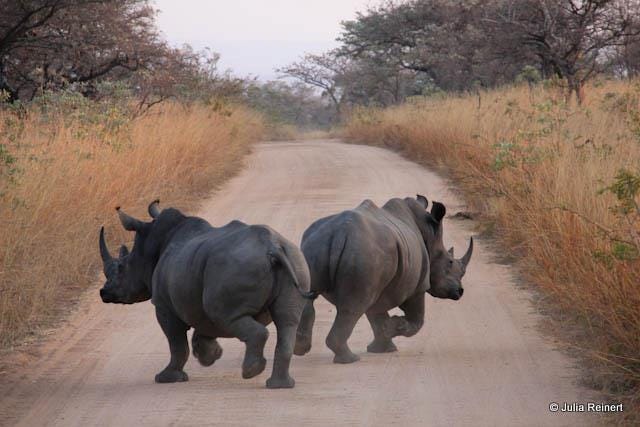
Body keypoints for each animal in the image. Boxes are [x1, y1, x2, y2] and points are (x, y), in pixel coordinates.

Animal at [99, 200, 316, 388]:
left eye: (121, 268)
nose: (104, 293)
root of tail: (272, 247)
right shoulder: (195, 293)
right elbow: (204, 326)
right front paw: (210, 356)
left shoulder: (163, 305)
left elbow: (176, 343)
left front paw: (166, 378)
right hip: (296, 260)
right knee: (286, 321)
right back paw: (279, 385)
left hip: (234, 267)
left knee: (226, 316)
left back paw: (250, 372)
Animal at [294, 195, 473, 363]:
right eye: (450, 262)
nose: (460, 291)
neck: (429, 233)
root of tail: (340, 233)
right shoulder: (419, 285)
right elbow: (416, 320)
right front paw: (394, 327)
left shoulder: (380, 284)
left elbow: (376, 315)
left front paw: (382, 347)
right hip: (365, 254)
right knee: (352, 308)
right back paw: (350, 359)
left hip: (316, 245)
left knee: (311, 297)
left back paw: (300, 349)